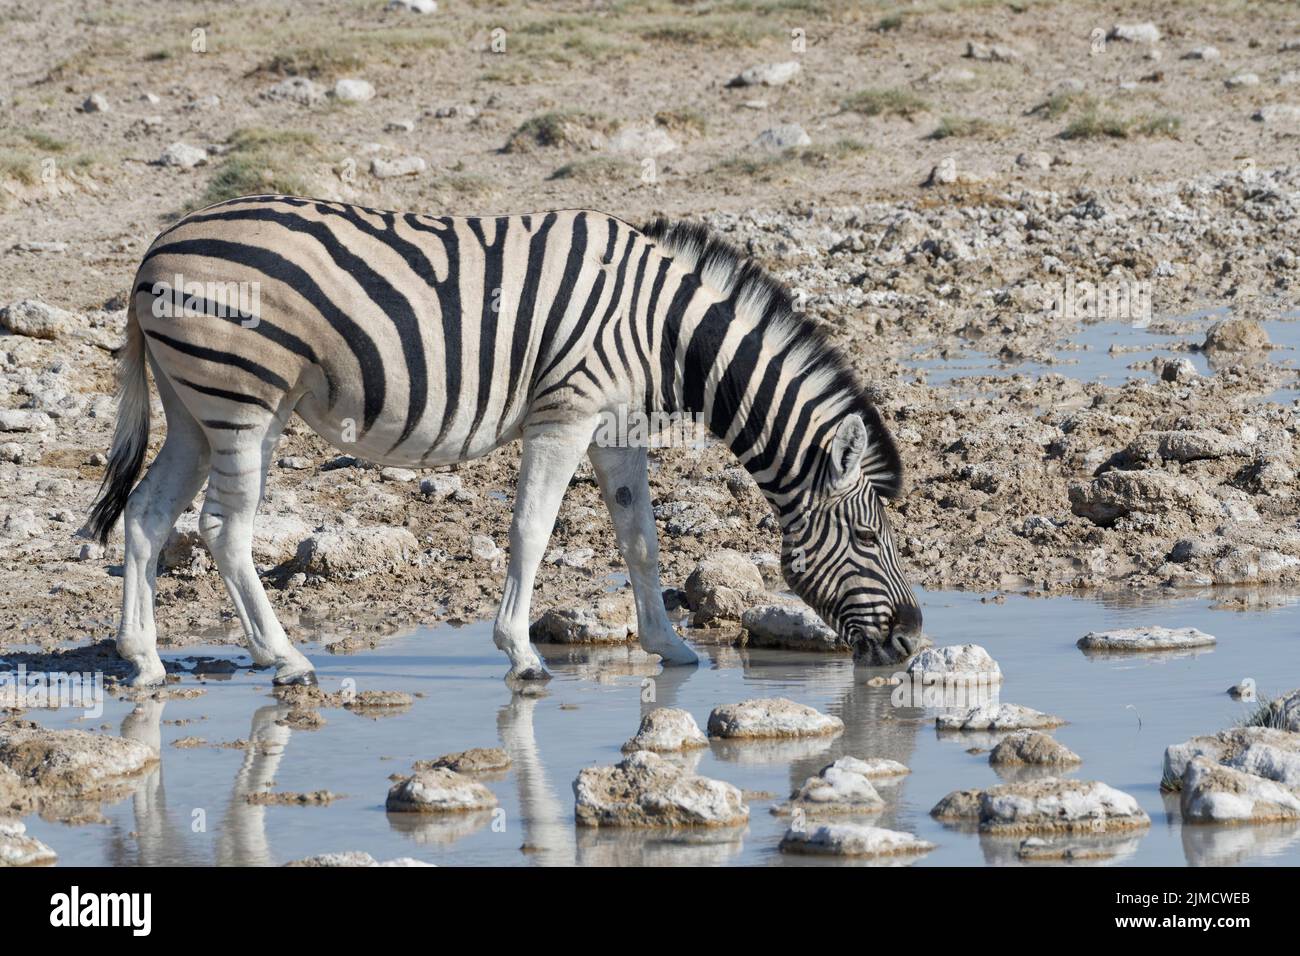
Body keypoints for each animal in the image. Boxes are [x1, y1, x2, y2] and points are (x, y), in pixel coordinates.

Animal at [89, 195, 925, 686]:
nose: (914, 640)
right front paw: (521, 652)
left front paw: (670, 647)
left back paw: (145, 658)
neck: (666, 330)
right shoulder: (568, 410)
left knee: (149, 515)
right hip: (244, 401)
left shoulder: (614, 424)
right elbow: (532, 529)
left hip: (195, 406)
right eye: (868, 538)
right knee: (223, 529)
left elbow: (640, 538)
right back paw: (285, 657)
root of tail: (156, 246)